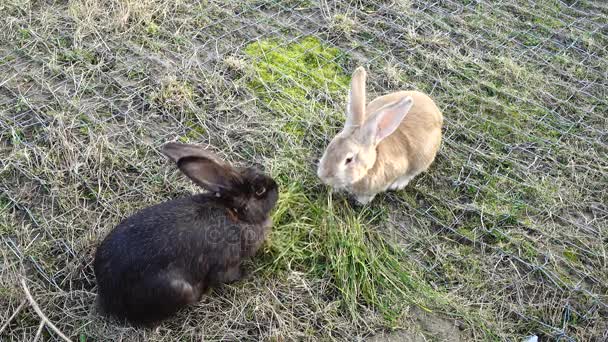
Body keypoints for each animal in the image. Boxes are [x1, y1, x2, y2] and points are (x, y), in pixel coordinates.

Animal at [93, 142, 280, 326]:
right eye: (260, 190)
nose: (276, 186)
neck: (236, 213)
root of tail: (108, 296)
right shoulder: (227, 264)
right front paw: (247, 273)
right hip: (179, 290)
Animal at [318, 67, 442, 203]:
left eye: (349, 159)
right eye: (330, 146)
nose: (323, 176)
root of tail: (438, 114)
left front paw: (361, 201)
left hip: (423, 157)